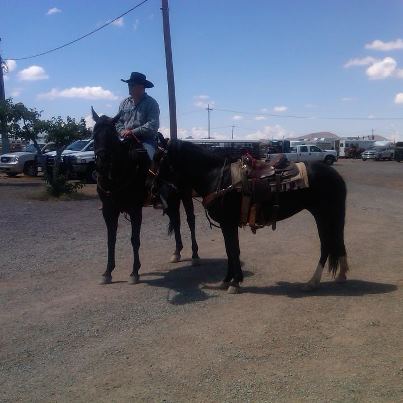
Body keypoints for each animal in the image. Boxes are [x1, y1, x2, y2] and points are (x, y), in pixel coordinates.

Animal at [155, 140, 350, 296]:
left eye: (161, 159)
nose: (155, 191)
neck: (218, 178)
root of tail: (335, 175)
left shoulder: (228, 224)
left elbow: (233, 251)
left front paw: (234, 283)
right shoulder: (227, 225)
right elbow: (230, 251)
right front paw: (226, 281)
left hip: (323, 215)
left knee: (326, 245)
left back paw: (312, 282)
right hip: (331, 215)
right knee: (338, 241)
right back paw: (341, 275)